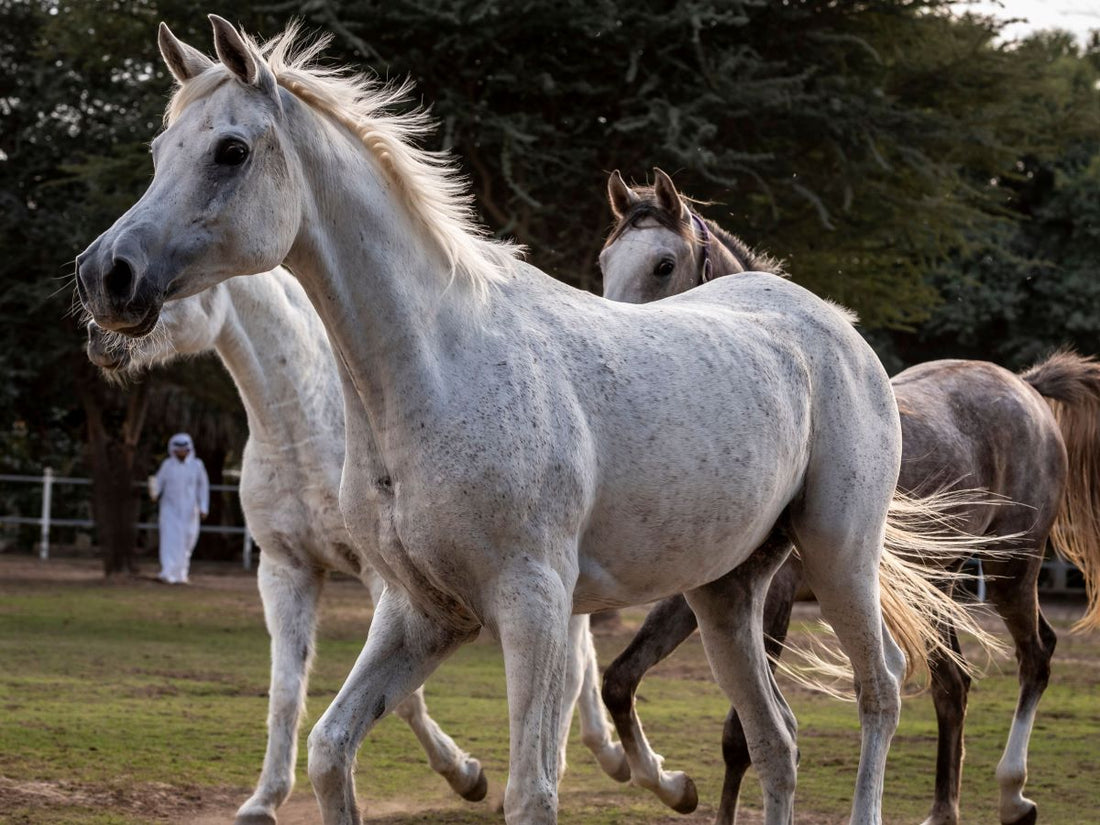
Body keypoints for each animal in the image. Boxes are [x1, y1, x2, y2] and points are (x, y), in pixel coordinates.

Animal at [84, 268, 630, 824]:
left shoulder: (383, 578)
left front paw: (463, 773)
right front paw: (264, 799)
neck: (299, 428)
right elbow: (285, 692)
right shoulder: (285, 569)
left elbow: (406, 700)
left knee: (574, 666)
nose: (97, 335)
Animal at [597, 168, 1100, 825]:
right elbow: (621, 681)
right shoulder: (697, 595)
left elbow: (739, 738)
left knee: (1035, 657)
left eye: (663, 265)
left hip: (1012, 570)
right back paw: (943, 809)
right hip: (938, 590)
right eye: (606, 260)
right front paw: (676, 788)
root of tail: (1025, 386)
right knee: (952, 684)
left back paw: (1013, 794)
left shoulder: (773, 600)